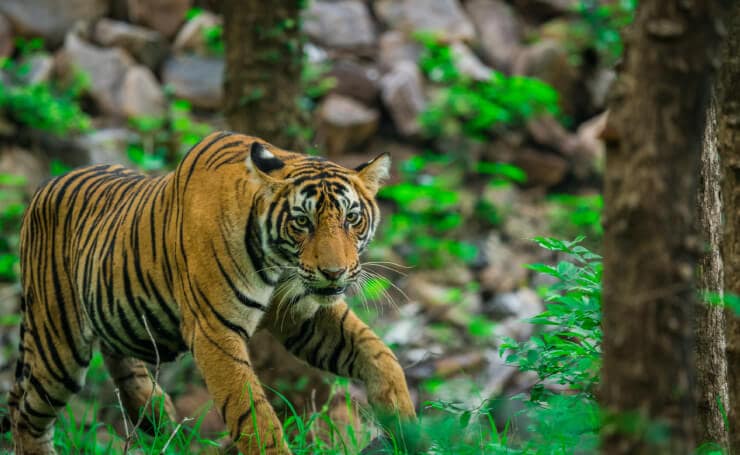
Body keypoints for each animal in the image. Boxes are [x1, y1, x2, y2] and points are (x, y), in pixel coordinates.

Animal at [8, 131, 416, 454]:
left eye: (352, 218)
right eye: (302, 222)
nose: (334, 272)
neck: (277, 263)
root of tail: (46, 184)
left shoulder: (302, 314)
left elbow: (379, 355)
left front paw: (406, 426)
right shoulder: (214, 331)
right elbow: (252, 414)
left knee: (130, 378)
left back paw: (163, 424)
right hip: (57, 346)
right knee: (24, 413)